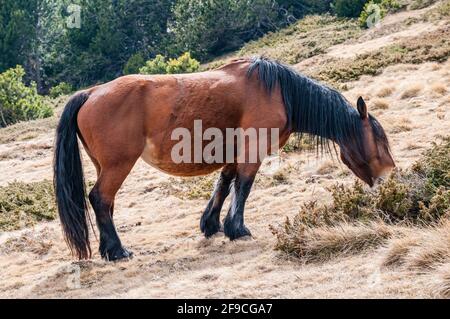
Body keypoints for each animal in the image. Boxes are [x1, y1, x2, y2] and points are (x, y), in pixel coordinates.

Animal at [54, 57, 396, 262]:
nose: (390, 174)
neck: (279, 91)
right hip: (118, 166)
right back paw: (117, 251)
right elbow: (243, 185)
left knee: (103, 203)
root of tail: (90, 93)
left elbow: (224, 182)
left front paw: (212, 224)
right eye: (381, 139)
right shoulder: (252, 148)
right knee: (101, 198)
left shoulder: (233, 150)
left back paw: (107, 249)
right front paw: (237, 228)